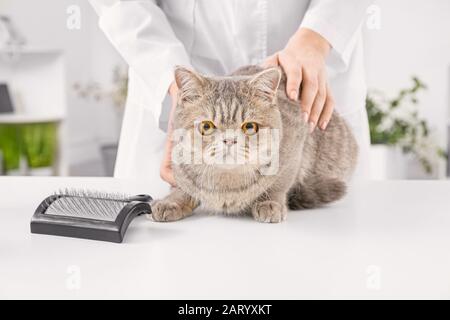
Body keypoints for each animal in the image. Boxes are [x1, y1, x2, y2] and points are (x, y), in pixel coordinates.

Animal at [151, 64, 358, 222]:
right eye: (206, 126)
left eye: (249, 126)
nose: (229, 140)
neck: (227, 185)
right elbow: (182, 187)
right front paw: (171, 201)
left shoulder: (294, 151)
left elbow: (279, 184)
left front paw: (270, 202)